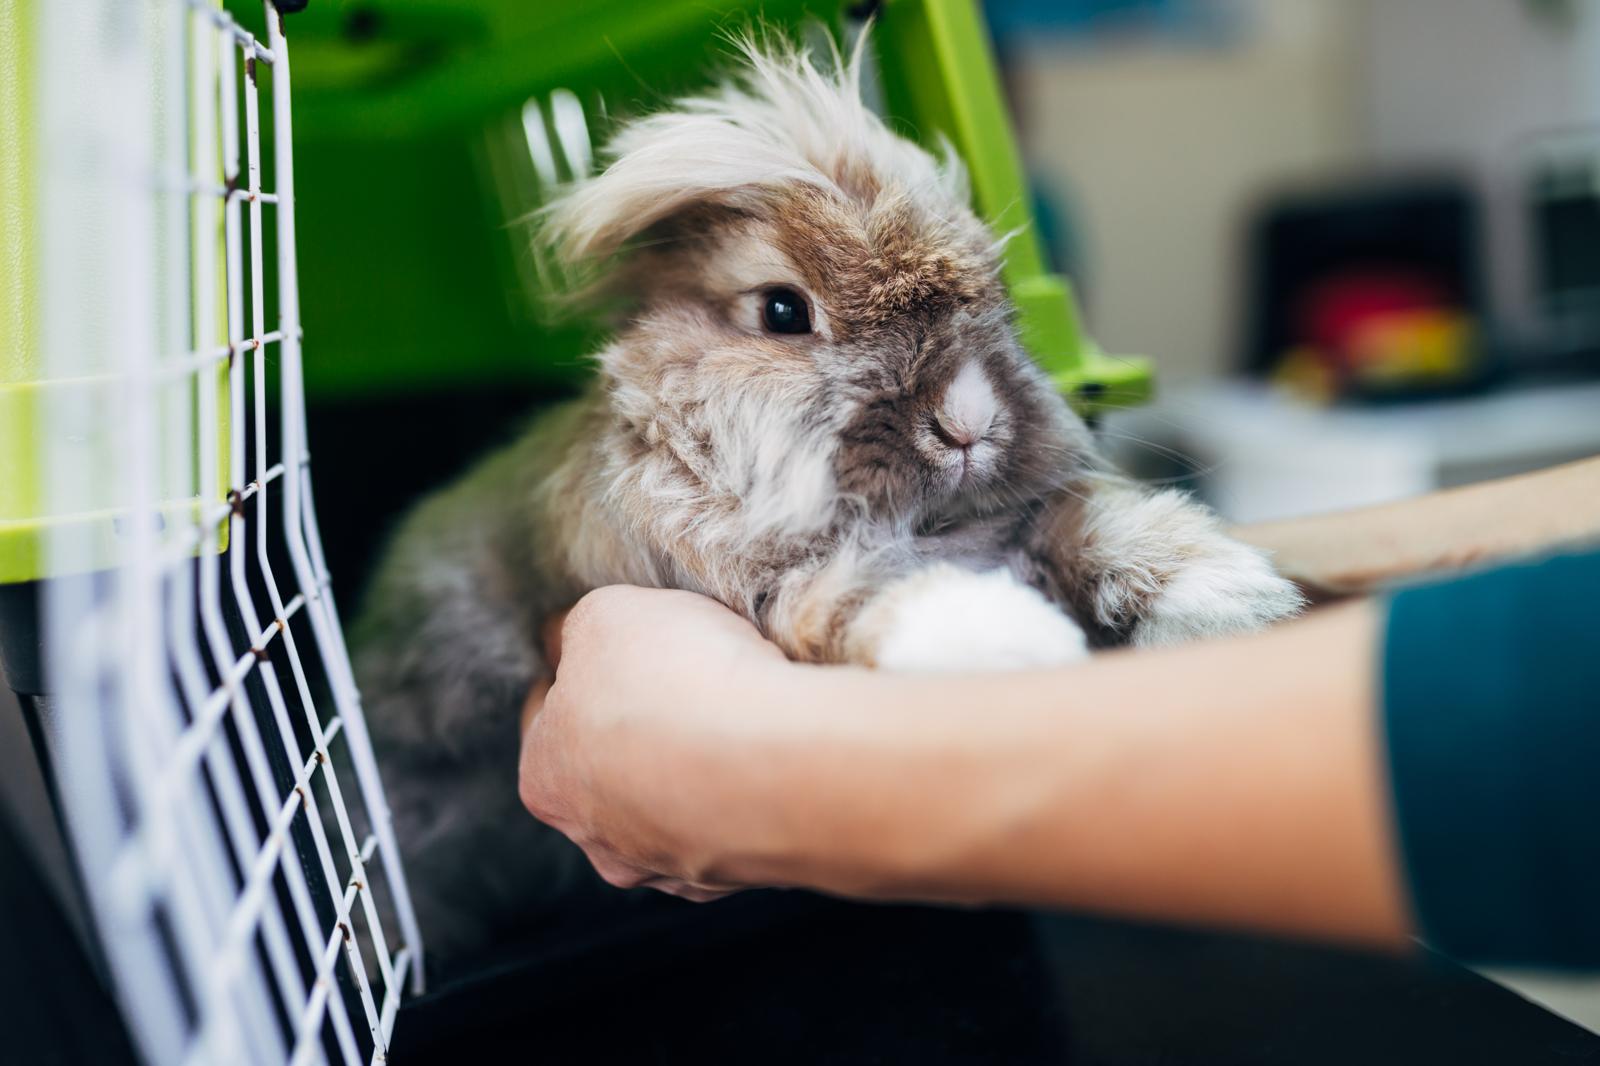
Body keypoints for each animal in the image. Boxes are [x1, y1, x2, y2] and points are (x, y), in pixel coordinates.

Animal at [349, 35, 1304, 963]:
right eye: (783, 310)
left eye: (996, 303)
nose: (968, 422)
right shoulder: (770, 585)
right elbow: (866, 594)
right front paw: (1007, 641)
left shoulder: (1029, 522)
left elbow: (1093, 526)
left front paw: (1233, 595)